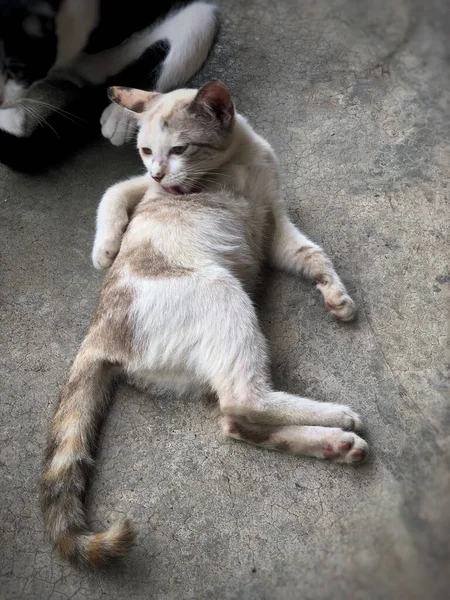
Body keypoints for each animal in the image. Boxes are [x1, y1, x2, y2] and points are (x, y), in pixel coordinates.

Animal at [39, 81, 370, 568]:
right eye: (145, 151)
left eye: (179, 149)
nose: (160, 176)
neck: (236, 164)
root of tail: (97, 333)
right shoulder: (155, 189)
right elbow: (115, 190)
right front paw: (105, 247)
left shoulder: (274, 222)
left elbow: (312, 254)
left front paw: (336, 297)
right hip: (222, 289)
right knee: (244, 399)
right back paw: (337, 418)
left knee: (233, 421)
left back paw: (335, 445)